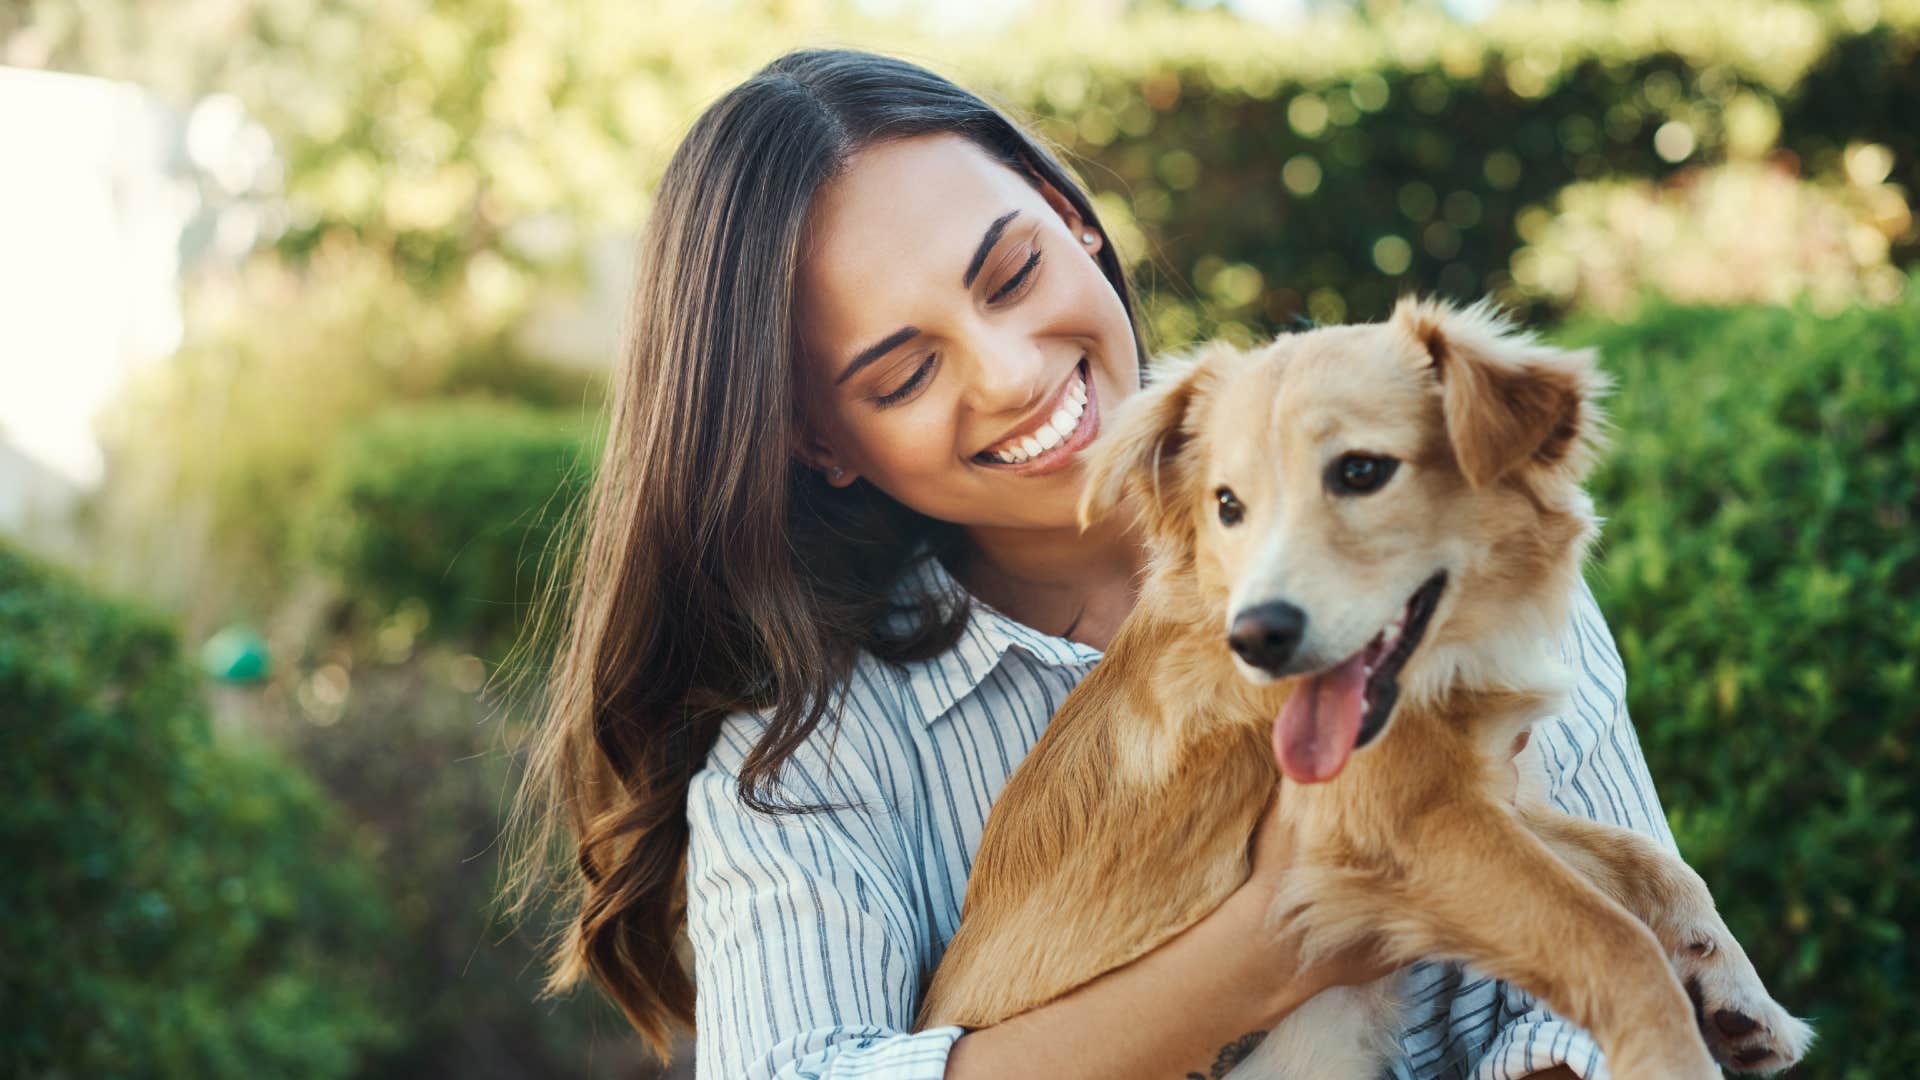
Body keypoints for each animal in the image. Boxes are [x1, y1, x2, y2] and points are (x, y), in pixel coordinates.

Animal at [913, 295, 1812, 1076]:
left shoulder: (1478, 798)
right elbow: (1612, 939)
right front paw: (1673, 1051)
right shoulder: (1402, 826)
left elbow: (1647, 861)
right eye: (1227, 505)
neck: (1446, 659)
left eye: (1362, 471)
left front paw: (1737, 992)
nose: (1257, 637)